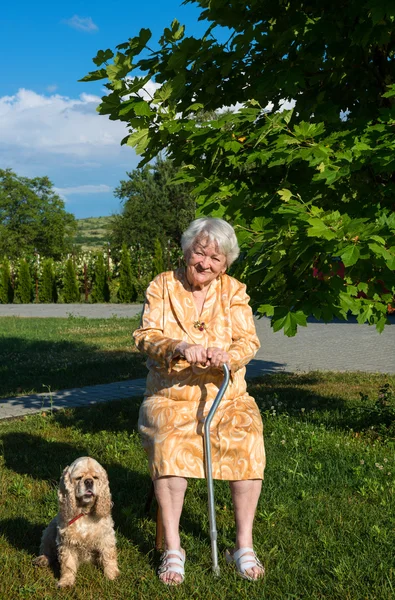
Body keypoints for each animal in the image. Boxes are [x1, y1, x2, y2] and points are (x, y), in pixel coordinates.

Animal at [33, 458, 120, 588]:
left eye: (95, 477)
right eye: (79, 478)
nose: (88, 481)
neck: (85, 512)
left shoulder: (106, 537)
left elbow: (109, 557)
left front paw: (112, 576)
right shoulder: (66, 542)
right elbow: (67, 564)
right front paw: (66, 582)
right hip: (50, 529)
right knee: (46, 549)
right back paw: (42, 559)